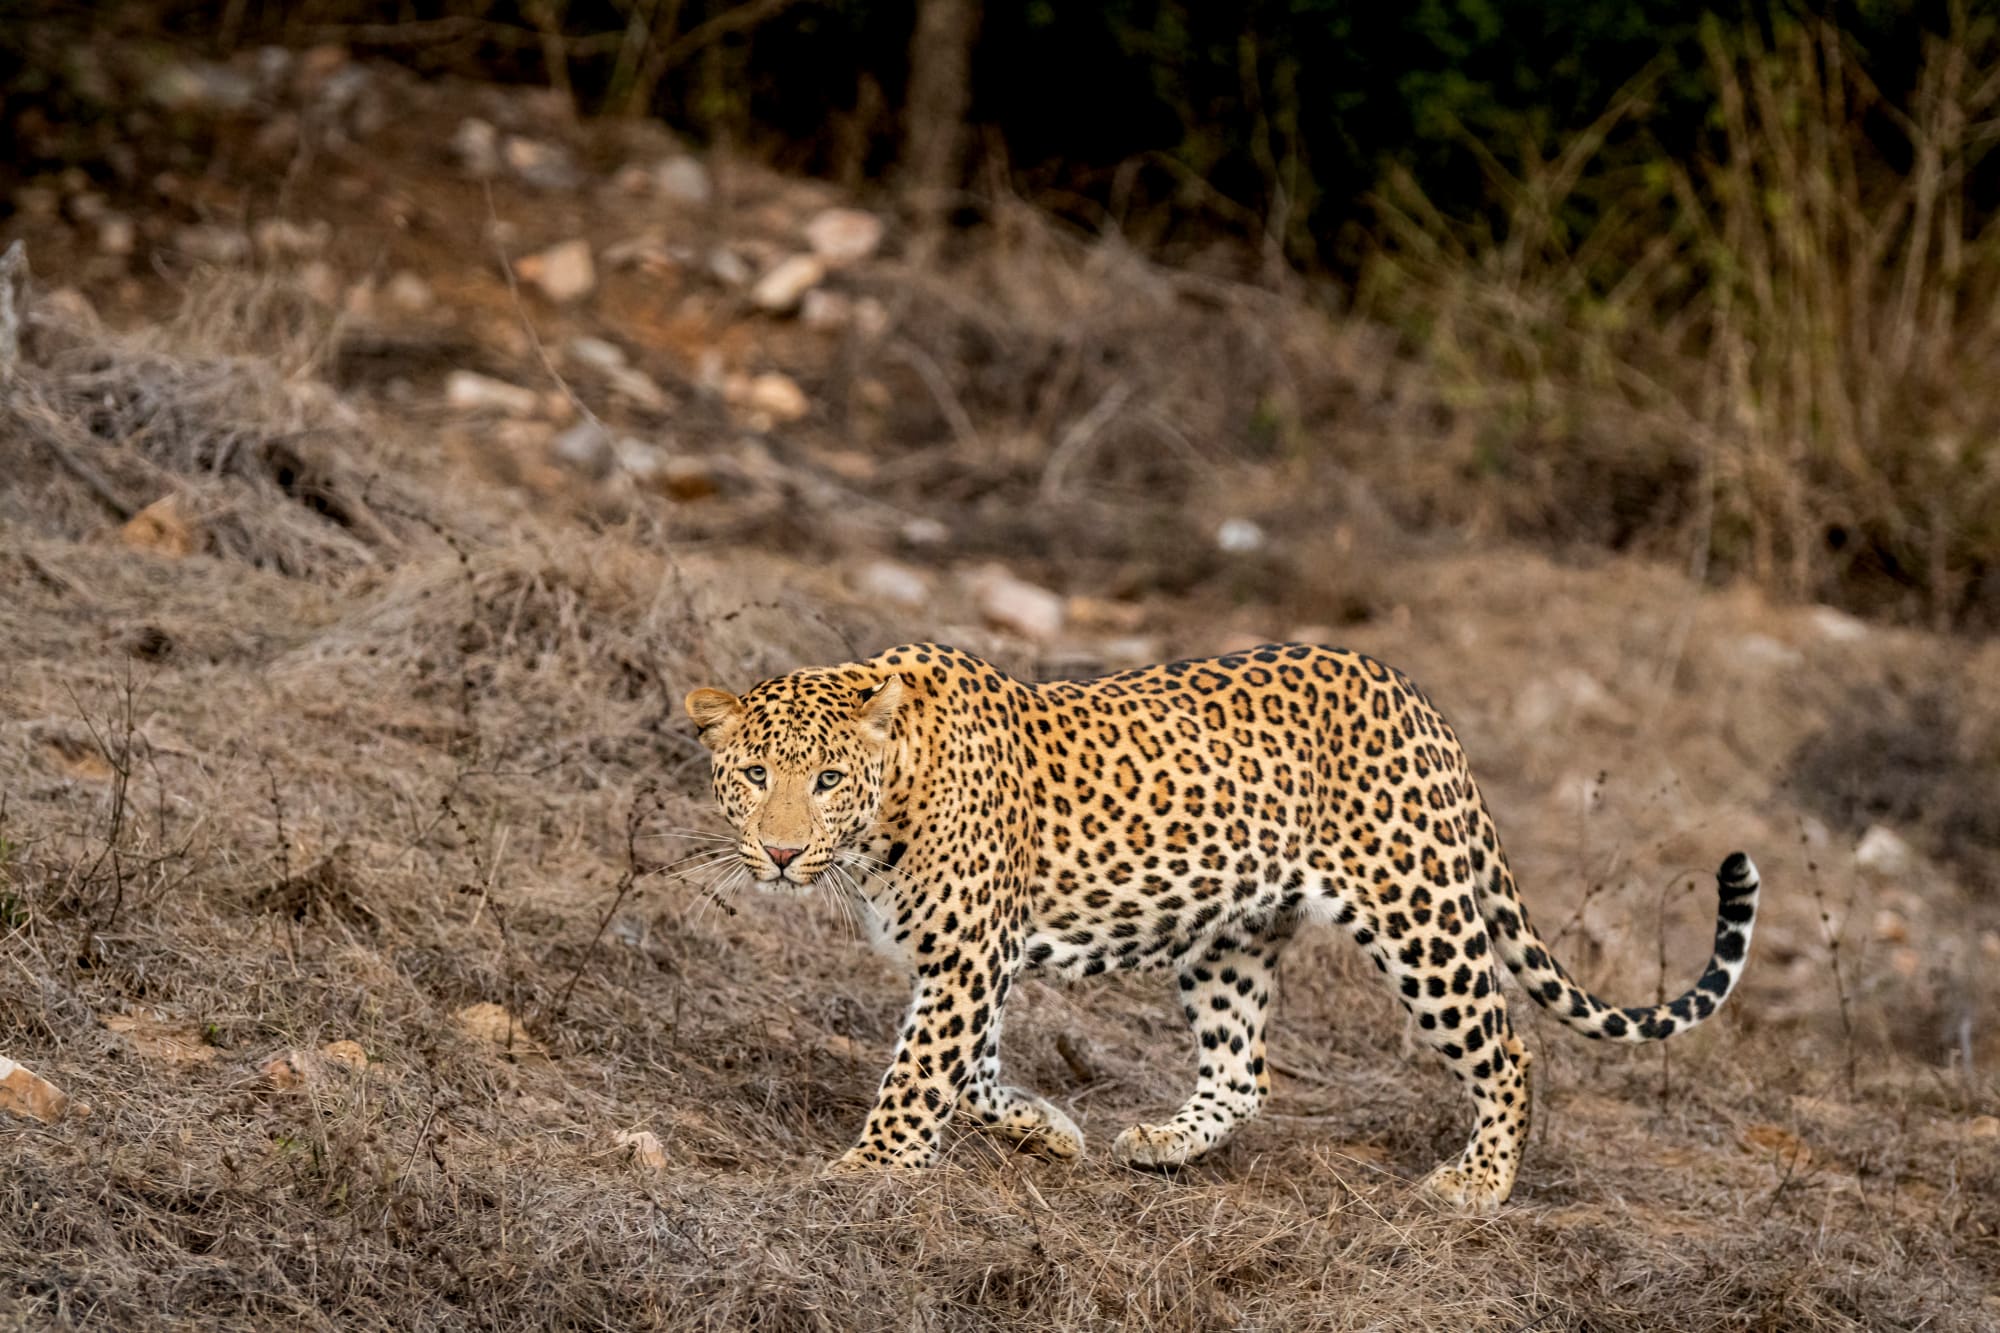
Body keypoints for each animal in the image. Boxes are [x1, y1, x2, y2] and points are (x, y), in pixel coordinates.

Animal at [683, 641, 1760, 1212]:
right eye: (754, 774)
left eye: (827, 779)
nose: (780, 852)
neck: (883, 814)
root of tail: (1421, 702)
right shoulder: (967, 962)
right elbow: (972, 1069)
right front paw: (1048, 1130)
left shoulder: (966, 956)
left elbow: (917, 1070)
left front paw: (868, 1170)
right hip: (1232, 934)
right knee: (1244, 1070)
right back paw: (1164, 1141)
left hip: (1417, 912)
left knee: (1508, 1046)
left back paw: (1479, 1182)